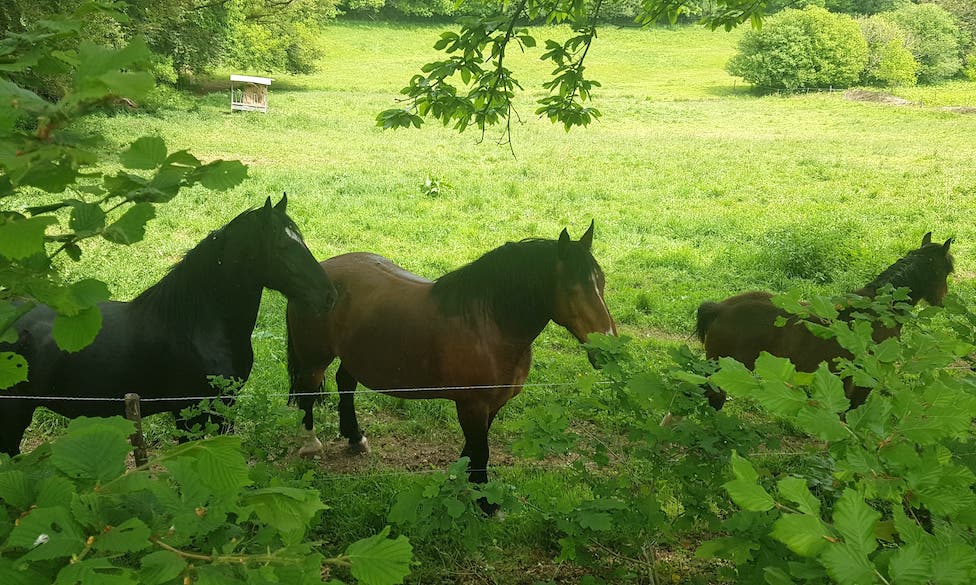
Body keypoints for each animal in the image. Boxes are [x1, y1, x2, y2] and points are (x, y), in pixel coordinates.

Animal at [0, 195, 336, 456]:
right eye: (283, 246)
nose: (329, 294)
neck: (197, 326)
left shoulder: (221, 410)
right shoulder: (191, 414)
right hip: (14, 412)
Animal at [286, 222, 616, 496]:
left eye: (601, 282)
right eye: (573, 289)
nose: (608, 348)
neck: (488, 325)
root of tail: (319, 271)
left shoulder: (493, 404)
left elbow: (474, 450)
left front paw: (461, 480)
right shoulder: (472, 405)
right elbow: (481, 452)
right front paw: (485, 504)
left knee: (345, 384)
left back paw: (355, 438)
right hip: (315, 359)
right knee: (307, 391)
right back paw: (310, 444)